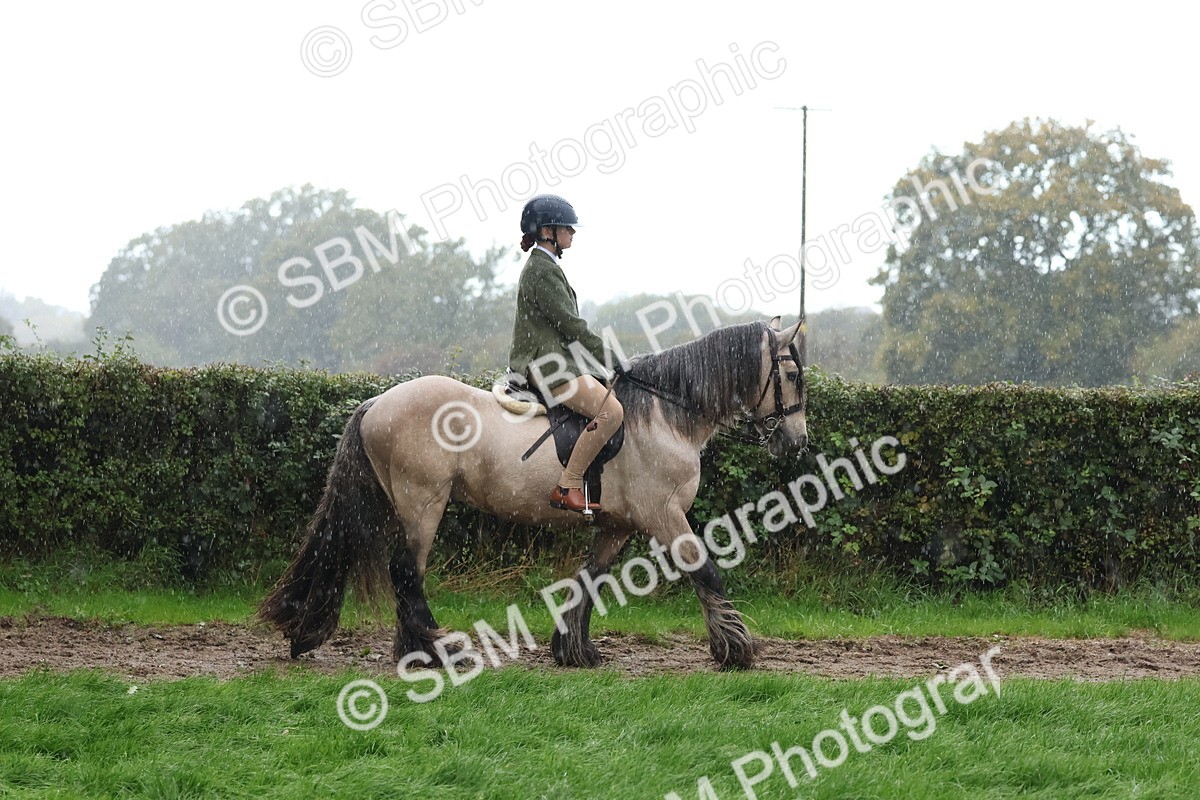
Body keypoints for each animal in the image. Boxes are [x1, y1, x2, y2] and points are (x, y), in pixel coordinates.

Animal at [258, 317, 807, 670]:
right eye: (791, 374)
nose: (796, 442)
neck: (666, 415)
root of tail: (377, 401)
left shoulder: (617, 525)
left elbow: (590, 579)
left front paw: (574, 652)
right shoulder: (663, 514)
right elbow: (705, 569)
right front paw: (735, 650)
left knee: (402, 572)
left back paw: (415, 651)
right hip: (423, 503)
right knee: (406, 571)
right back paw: (439, 650)